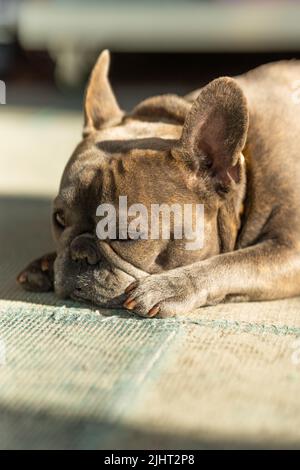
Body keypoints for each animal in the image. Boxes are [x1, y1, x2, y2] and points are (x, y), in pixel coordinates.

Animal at [17, 49, 300, 318]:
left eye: (126, 236)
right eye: (59, 220)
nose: (79, 253)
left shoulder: (289, 250)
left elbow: (231, 263)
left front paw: (170, 287)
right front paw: (46, 262)